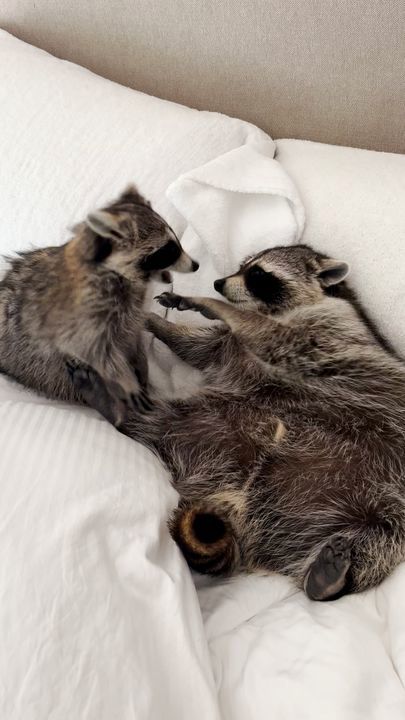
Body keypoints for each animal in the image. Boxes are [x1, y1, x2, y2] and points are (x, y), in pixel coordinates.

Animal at [0, 184, 197, 428]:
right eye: (168, 250)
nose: (196, 265)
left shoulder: (131, 311)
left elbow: (133, 335)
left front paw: (140, 363)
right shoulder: (82, 314)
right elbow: (93, 350)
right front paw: (125, 380)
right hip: (41, 367)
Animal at [69, 245, 404, 600]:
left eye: (258, 275)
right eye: (243, 267)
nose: (218, 284)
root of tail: (241, 507)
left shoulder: (328, 329)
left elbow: (275, 338)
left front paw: (208, 305)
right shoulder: (227, 346)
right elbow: (199, 348)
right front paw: (158, 323)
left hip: (389, 500)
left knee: (380, 540)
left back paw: (334, 579)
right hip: (214, 426)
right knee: (164, 421)